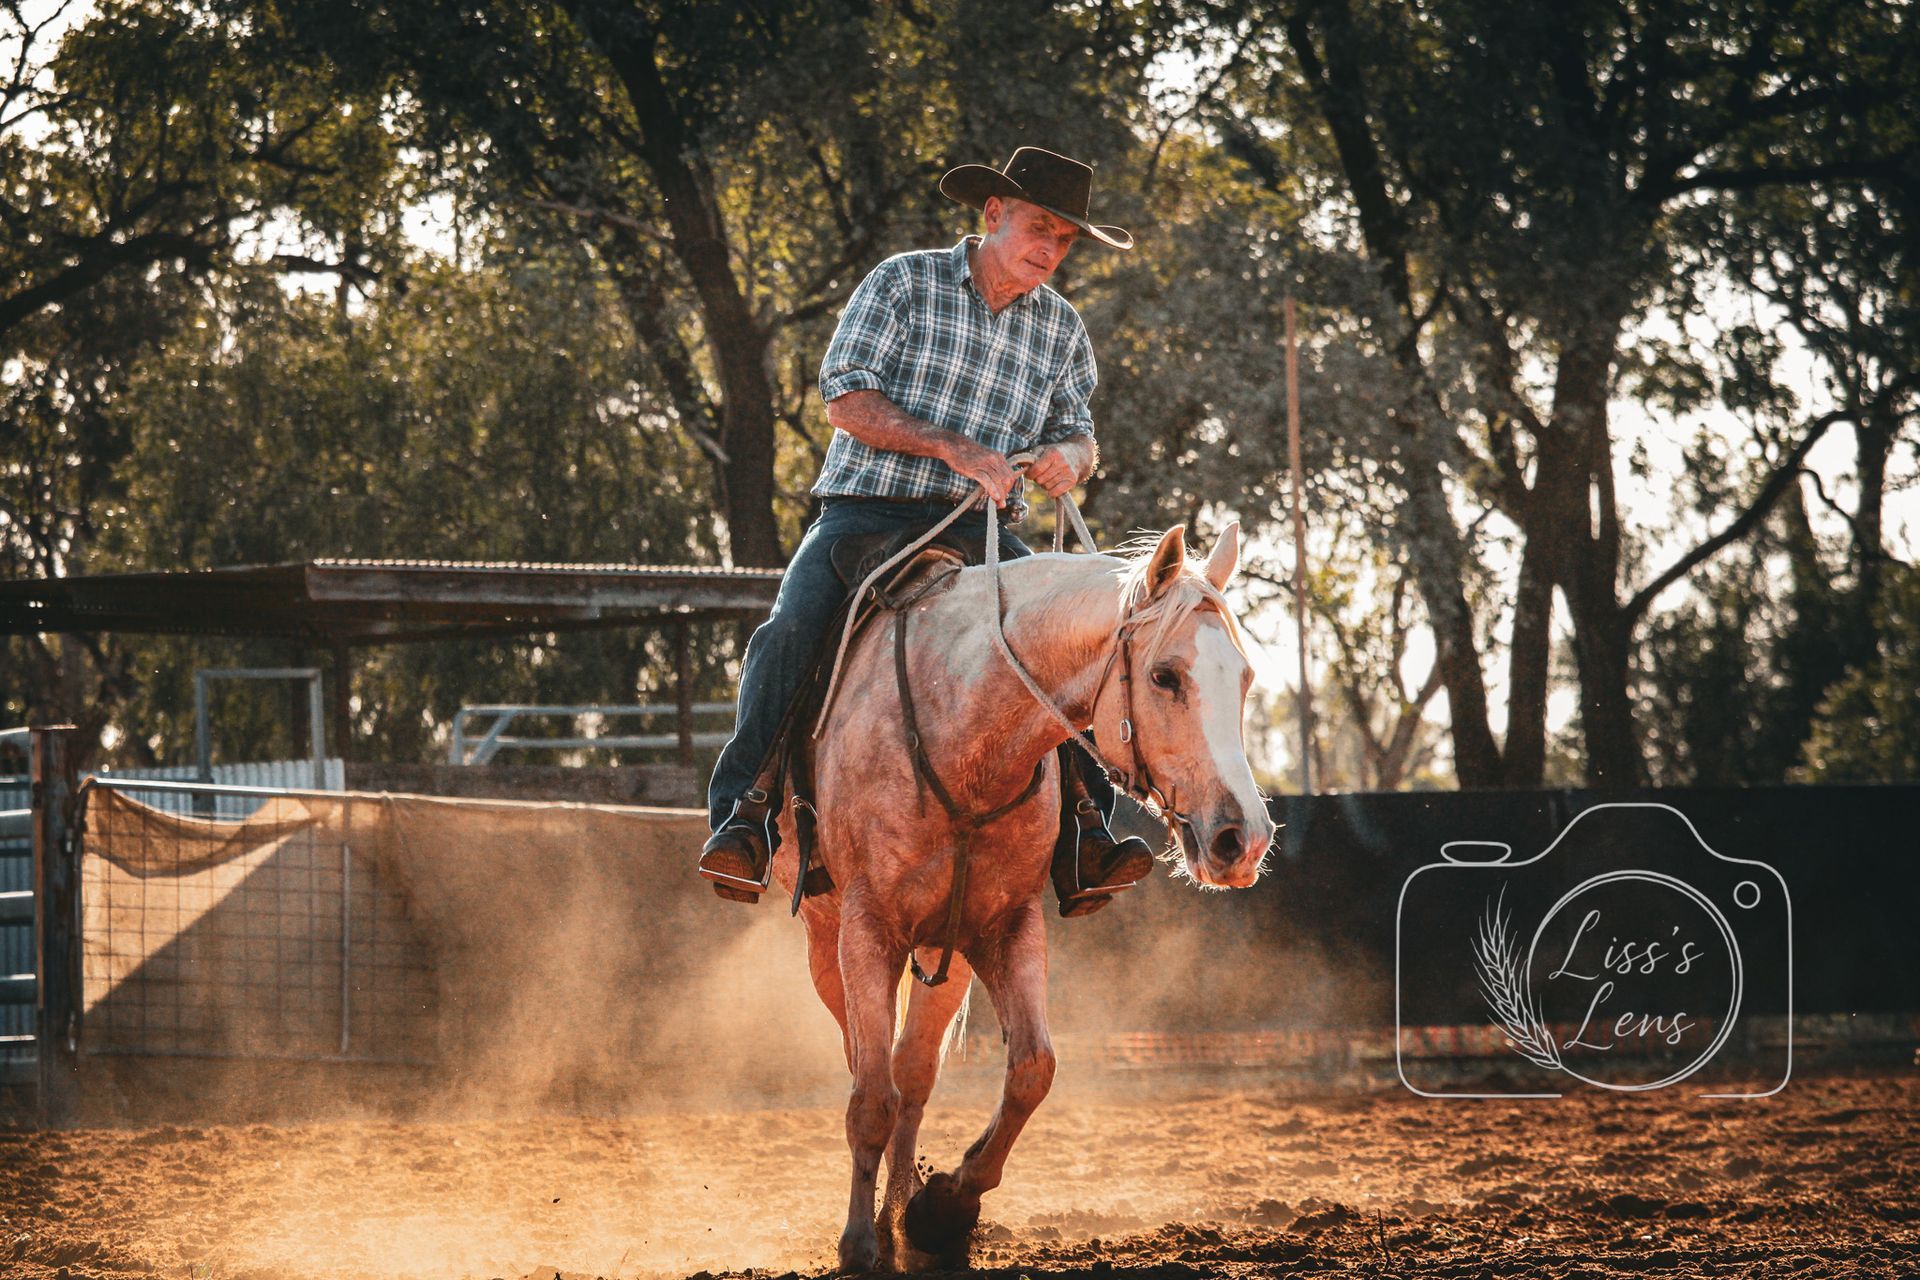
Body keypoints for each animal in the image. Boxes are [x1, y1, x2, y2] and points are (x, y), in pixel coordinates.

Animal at [769, 517, 1273, 1271]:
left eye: (1242, 677)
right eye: (1165, 676)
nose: (1245, 838)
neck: (963, 733)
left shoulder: (1006, 925)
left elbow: (1032, 1069)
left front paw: (940, 1211)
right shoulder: (868, 928)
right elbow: (869, 1097)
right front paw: (860, 1246)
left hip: (943, 952)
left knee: (913, 1074)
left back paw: (900, 1214)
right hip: (828, 940)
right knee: (872, 1070)